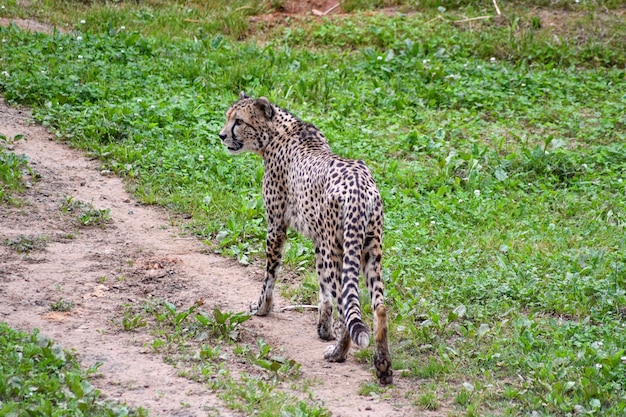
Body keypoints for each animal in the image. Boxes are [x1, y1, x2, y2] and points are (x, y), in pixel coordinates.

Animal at [216, 92, 390, 384]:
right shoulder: (320, 242)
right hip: (368, 250)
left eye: (238, 121)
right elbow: (323, 292)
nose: (221, 135)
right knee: (379, 306)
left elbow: (270, 276)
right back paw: (384, 367)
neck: (278, 131)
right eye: (229, 117)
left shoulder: (276, 227)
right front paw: (323, 329)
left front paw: (261, 308)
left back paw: (338, 353)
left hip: (340, 250)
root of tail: (359, 185)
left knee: (347, 306)